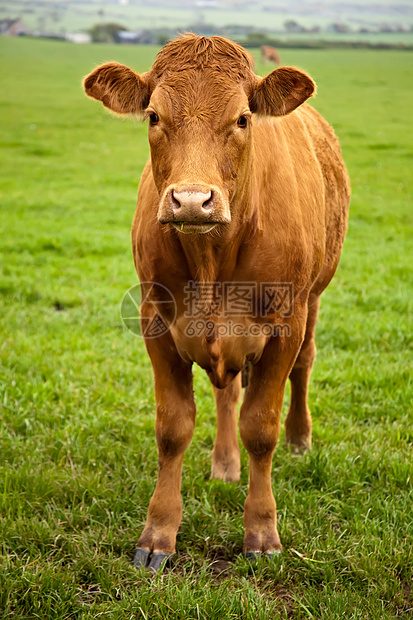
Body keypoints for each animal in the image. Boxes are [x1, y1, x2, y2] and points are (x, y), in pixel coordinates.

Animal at [83, 32, 348, 572]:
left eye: (243, 118)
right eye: (154, 116)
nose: (191, 201)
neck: (212, 259)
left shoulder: (285, 324)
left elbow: (261, 427)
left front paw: (262, 533)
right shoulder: (156, 321)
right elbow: (174, 427)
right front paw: (158, 533)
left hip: (313, 300)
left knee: (304, 366)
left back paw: (300, 440)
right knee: (227, 393)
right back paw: (224, 464)